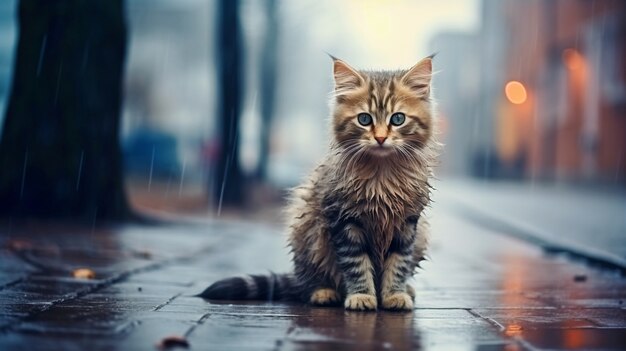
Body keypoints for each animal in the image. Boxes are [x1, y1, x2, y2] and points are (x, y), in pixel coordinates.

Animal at [199, 55, 434, 310]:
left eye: (398, 119)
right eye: (364, 119)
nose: (380, 138)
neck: (382, 174)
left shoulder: (407, 225)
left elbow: (398, 265)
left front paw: (393, 294)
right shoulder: (344, 222)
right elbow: (357, 266)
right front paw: (361, 295)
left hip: (421, 235)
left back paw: (407, 290)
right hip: (308, 232)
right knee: (308, 284)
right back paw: (323, 292)